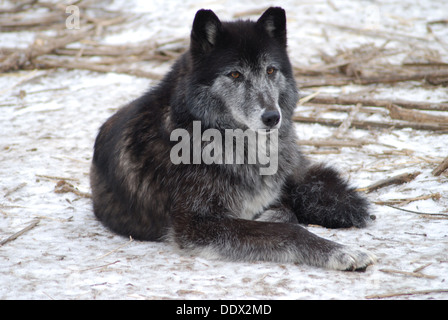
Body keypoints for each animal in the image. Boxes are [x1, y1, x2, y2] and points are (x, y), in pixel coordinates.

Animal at [92, 7, 378, 270]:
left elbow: (285, 214)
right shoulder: (196, 224)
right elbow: (290, 230)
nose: (272, 117)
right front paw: (341, 252)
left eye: (270, 70)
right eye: (235, 74)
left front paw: (271, 216)